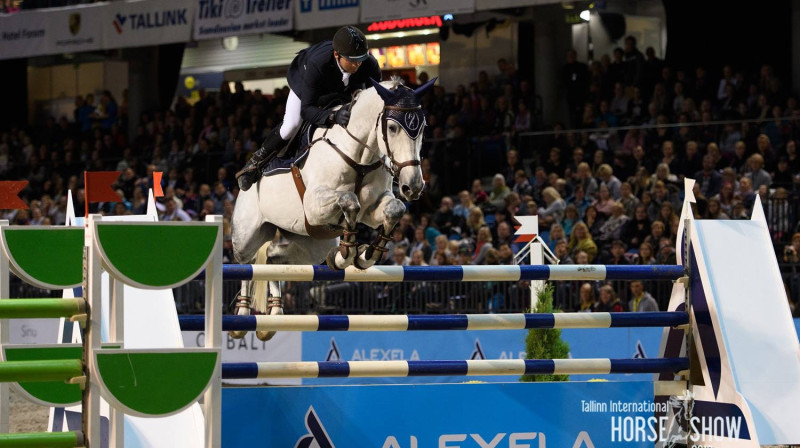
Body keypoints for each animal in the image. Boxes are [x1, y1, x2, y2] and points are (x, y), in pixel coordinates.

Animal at [228, 78, 434, 340]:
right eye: (392, 128)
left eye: (423, 127)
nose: (413, 186)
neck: (359, 154)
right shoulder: (314, 205)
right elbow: (349, 200)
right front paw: (347, 252)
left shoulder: (373, 207)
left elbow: (393, 209)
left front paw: (365, 255)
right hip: (247, 235)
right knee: (247, 263)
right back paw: (241, 318)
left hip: (310, 245)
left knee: (273, 259)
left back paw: (274, 315)